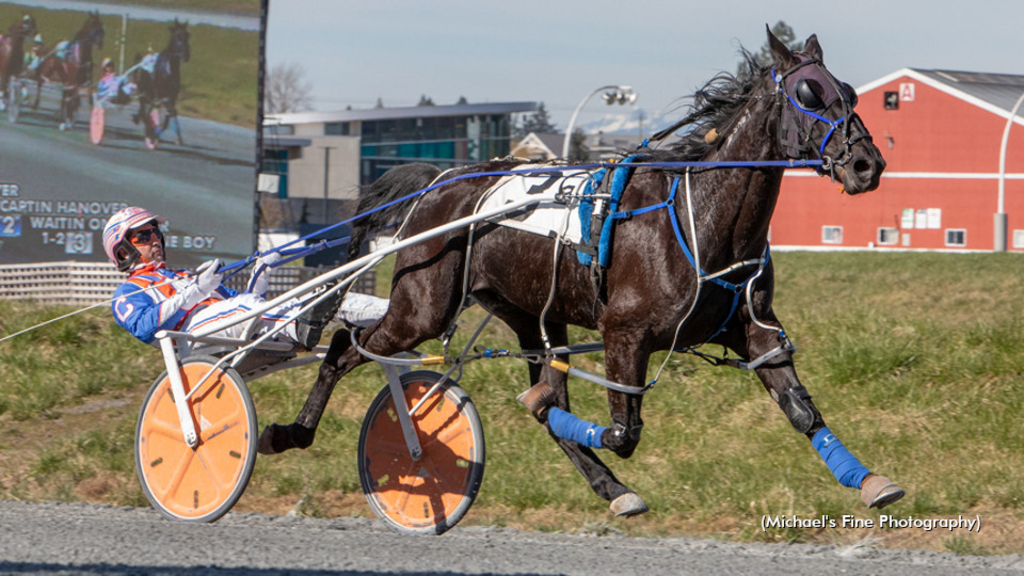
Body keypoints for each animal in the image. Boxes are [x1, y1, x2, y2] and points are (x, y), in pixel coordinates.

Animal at [258, 29, 905, 516]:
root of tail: (442, 180)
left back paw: (610, 487)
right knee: (345, 347)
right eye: (808, 91)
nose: (867, 163)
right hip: (422, 305)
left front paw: (870, 481)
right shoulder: (625, 335)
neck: (698, 217)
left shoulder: (753, 330)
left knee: (538, 381)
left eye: (849, 91)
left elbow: (801, 409)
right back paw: (289, 432)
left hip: (531, 317)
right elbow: (622, 433)